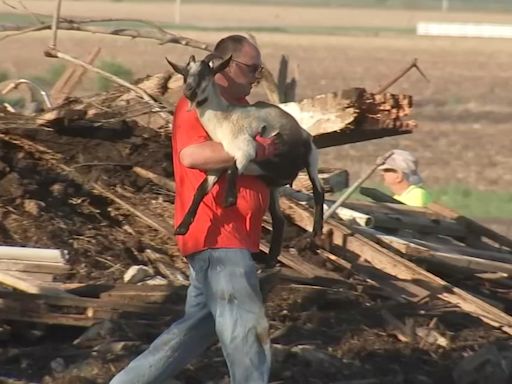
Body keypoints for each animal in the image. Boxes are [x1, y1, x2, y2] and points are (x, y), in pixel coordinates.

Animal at [168, 54, 324, 264]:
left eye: (206, 73)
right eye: (184, 74)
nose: (189, 91)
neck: (224, 118)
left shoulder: (246, 149)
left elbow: (233, 169)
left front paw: (228, 201)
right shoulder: (216, 166)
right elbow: (200, 191)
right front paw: (182, 227)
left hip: (312, 157)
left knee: (319, 191)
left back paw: (316, 233)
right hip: (273, 185)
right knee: (279, 219)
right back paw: (270, 258)